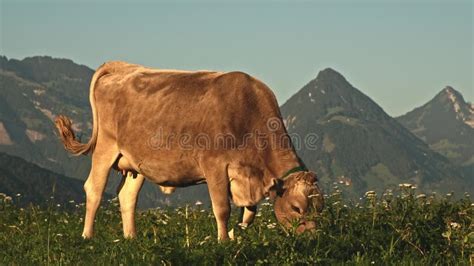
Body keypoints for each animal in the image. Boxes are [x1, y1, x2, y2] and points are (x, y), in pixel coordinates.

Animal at [53, 61, 324, 240]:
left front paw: (237, 237)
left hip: (136, 162)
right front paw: (223, 242)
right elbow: (222, 209)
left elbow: (248, 214)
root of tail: (122, 67)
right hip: (106, 148)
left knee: (127, 196)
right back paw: (87, 237)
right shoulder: (214, 165)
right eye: (297, 208)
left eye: (320, 207)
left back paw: (131, 238)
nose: (312, 238)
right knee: (94, 190)